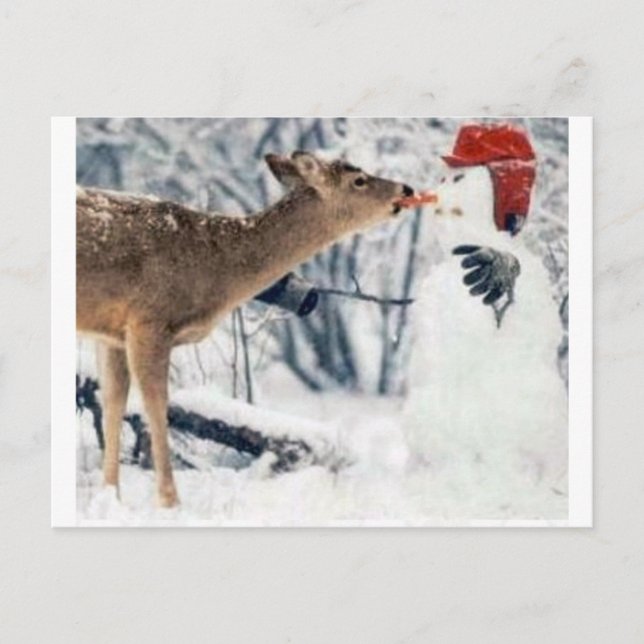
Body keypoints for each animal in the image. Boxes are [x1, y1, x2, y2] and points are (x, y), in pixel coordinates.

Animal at [76, 150, 414, 507]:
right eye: (359, 180)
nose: (406, 189)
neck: (213, 264)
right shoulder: (149, 319)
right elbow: (156, 406)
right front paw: (170, 502)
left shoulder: (112, 332)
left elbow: (113, 403)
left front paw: (109, 496)